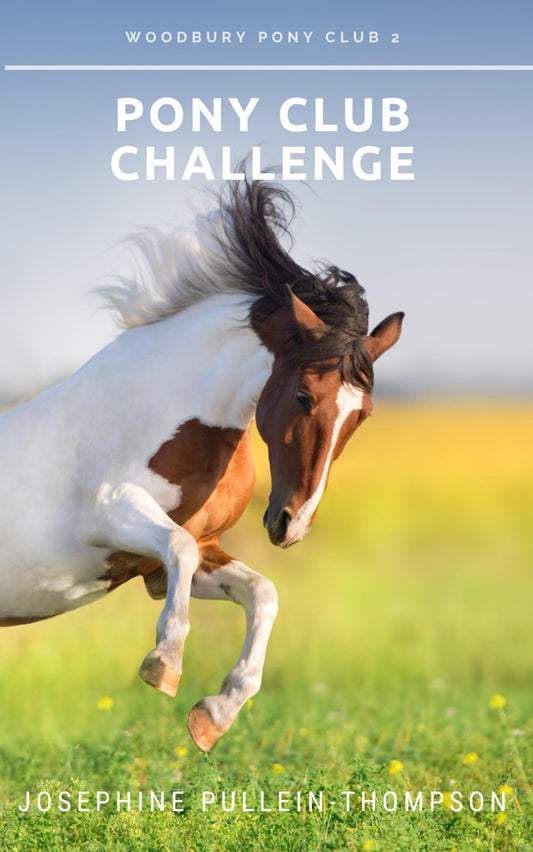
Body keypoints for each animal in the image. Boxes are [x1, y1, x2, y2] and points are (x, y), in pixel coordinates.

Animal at [0, 179, 403, 751]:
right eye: (303, 395)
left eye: (362, 415)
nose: (291, 525)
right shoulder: (109, 514)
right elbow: (180, 548)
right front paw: (164, 665)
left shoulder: (164, 564)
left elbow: (262, 593)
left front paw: (214, 715)